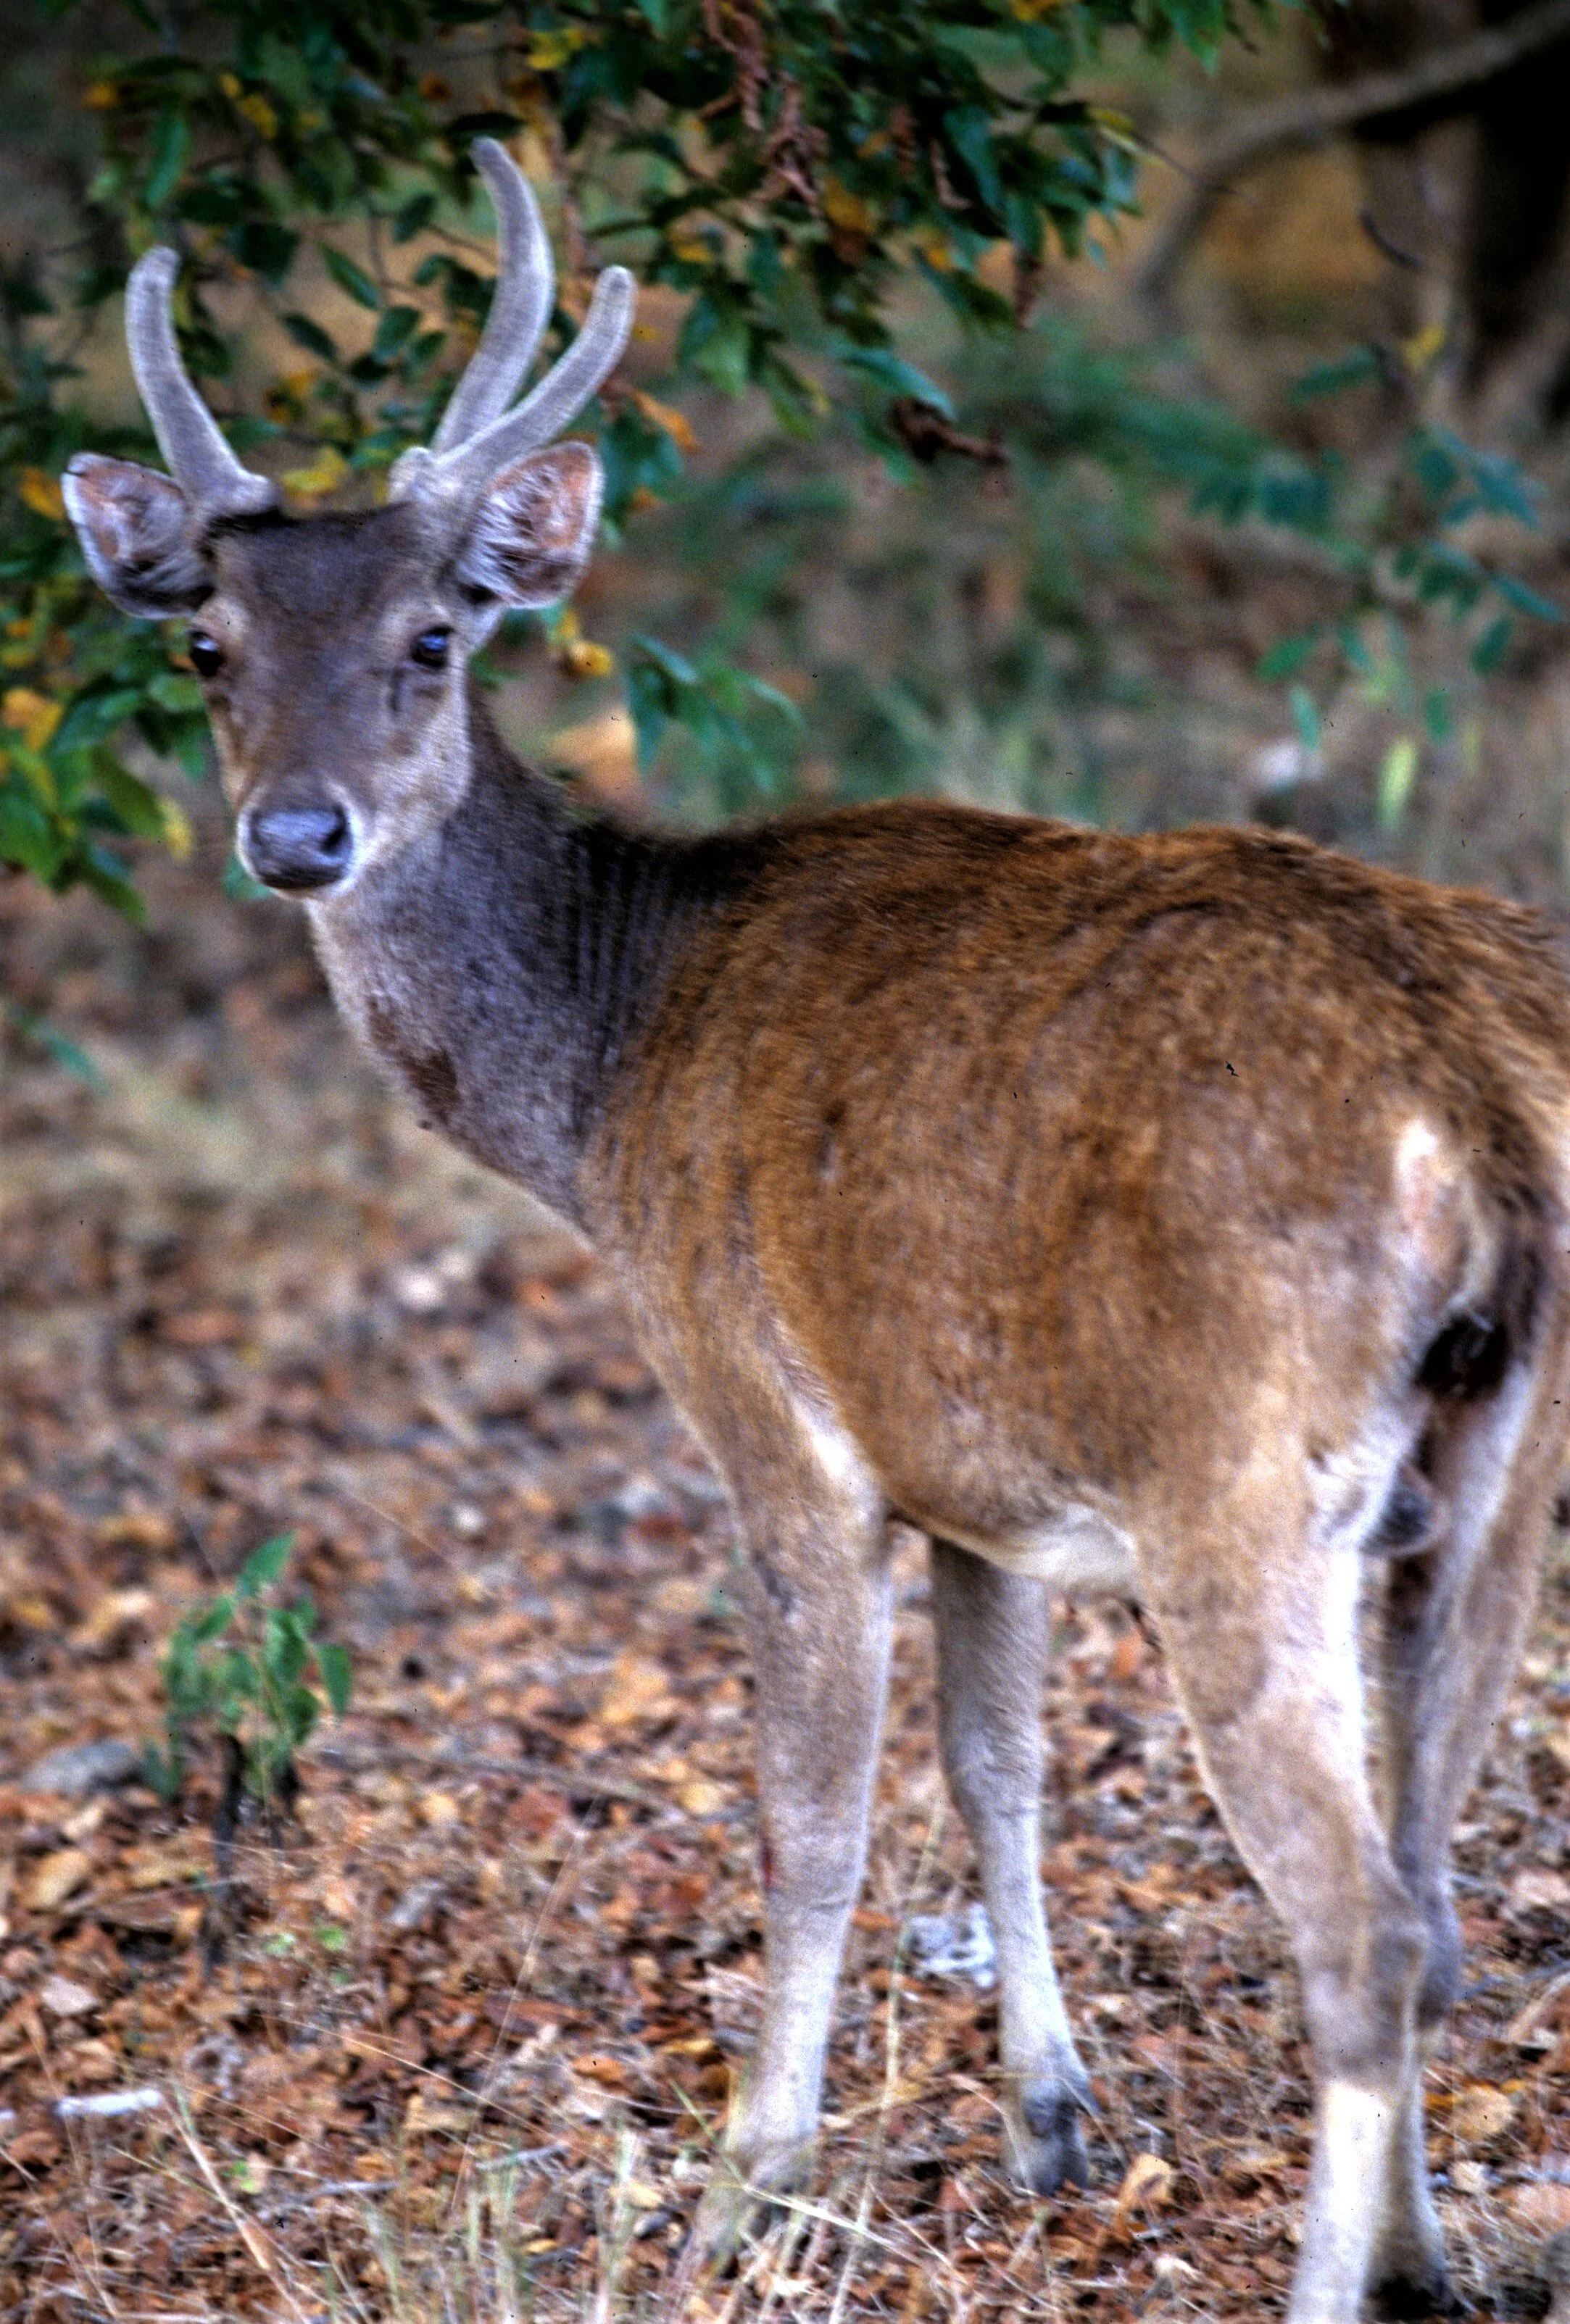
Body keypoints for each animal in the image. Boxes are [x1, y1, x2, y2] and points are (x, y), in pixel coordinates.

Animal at [62, 139, 1570, 2322]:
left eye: (436, 636)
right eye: (209, 649)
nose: (296, 835)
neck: (607, 1078)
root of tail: (1469, 1099)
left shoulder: (773, 1417)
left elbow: (811, 1816)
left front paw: (741, 2179)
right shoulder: (984, 1480)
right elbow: (994, 1766)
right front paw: (1046, 2119)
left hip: (1237, 1476)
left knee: (1360, 1932)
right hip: (1496, 1481)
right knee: (1436, 1897)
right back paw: (1431, 2256)